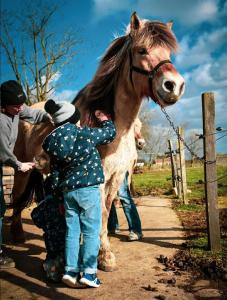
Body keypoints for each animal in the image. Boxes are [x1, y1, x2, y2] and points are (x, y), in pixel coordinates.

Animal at [11, 12, 184, 272]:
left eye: (168, 54)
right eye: (142, 50)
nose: (175, 86)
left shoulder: (115, 178)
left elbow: (104, 211)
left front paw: (102, 254)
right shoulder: (97, 176)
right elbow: (99, 212)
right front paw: (102, 255)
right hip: (21, 170)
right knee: (16, 198)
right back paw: (15, 238)